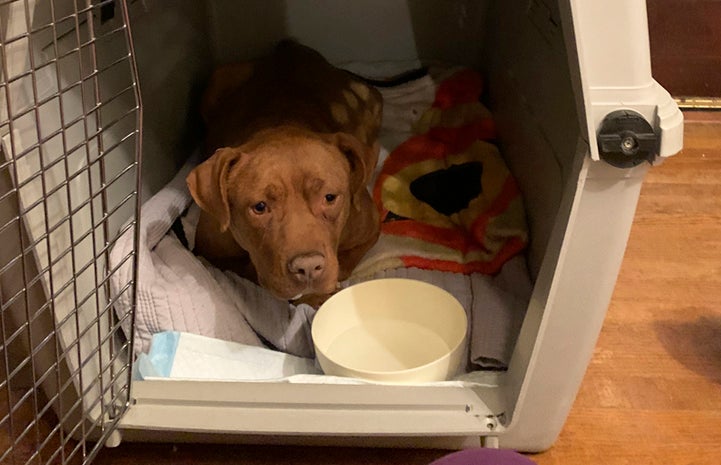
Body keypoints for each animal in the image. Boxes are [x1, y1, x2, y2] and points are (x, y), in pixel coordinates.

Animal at [186, 41, 382, 304]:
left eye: (330, 197)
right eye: (260, 207)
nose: (308, 267)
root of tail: (291, 48)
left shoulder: (368, 229)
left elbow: (344, 264)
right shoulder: (210, 252)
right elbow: (249, 269)